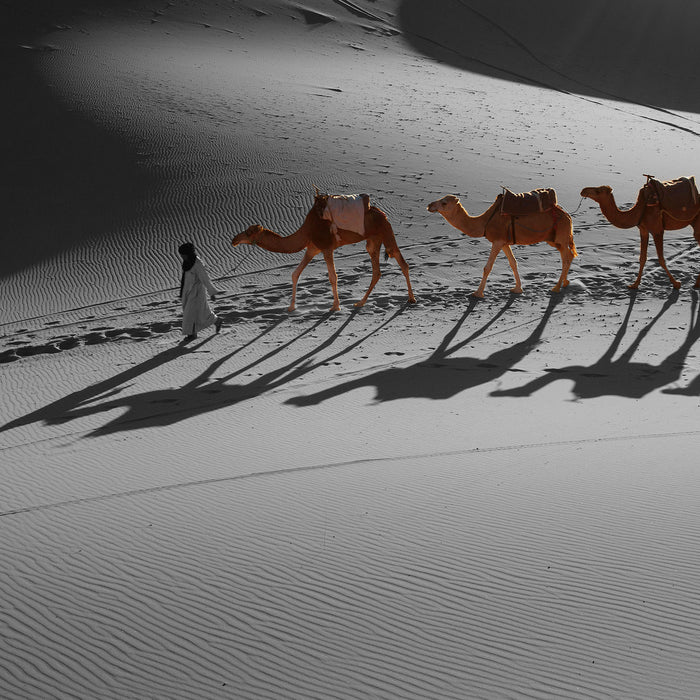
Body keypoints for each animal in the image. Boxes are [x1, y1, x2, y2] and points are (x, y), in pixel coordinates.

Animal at [230, 193, 416, 310]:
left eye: (249, 232)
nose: (234, 240)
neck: (307, 231)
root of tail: (382, 213)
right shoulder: (312, 248)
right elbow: (295, 274)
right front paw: (291, 307)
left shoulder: (326, 247)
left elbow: (333, 277)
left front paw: (336, 306)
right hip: (373, 240)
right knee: (377, 271)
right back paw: (360, 303)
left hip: (386, 231)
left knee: (402, 262)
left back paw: (411, 298)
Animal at [424, 194, 576, 298]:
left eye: (444, 203)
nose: (429, 205)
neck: (484, 221)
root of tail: (567, 216)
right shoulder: (504, 242)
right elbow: (513, 262)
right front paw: (517, 289)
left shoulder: (497, 241)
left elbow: (487, 267)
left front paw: (478, 293)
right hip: (554, 239)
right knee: (568, 256)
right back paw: (565, 283)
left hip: (561, 236)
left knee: (566, 258)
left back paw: (556, 287)